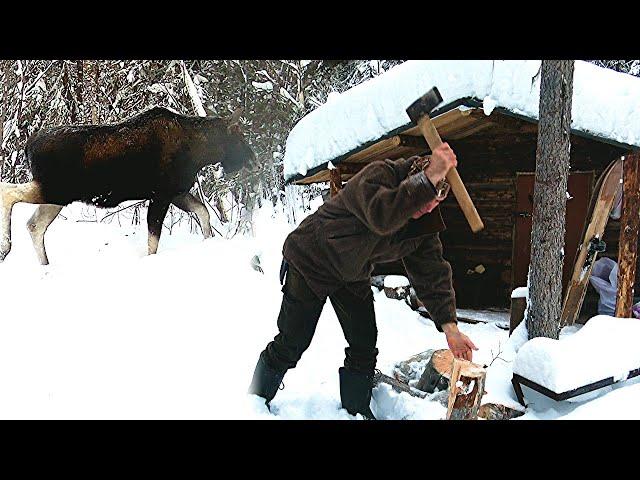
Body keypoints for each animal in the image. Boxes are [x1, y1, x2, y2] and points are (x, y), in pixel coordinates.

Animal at [0, 105, 255, 264]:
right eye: (239, 136)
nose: (254, 160)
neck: (199, 153)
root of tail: (28, 145)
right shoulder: (162, 194)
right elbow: (153, 239)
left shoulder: (177, 192)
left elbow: (203, 212)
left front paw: (208, 241)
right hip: (54, 190)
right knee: (8, 192)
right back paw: (6, 248)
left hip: (57, 197)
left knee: (34, 225)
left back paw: (45, 264)